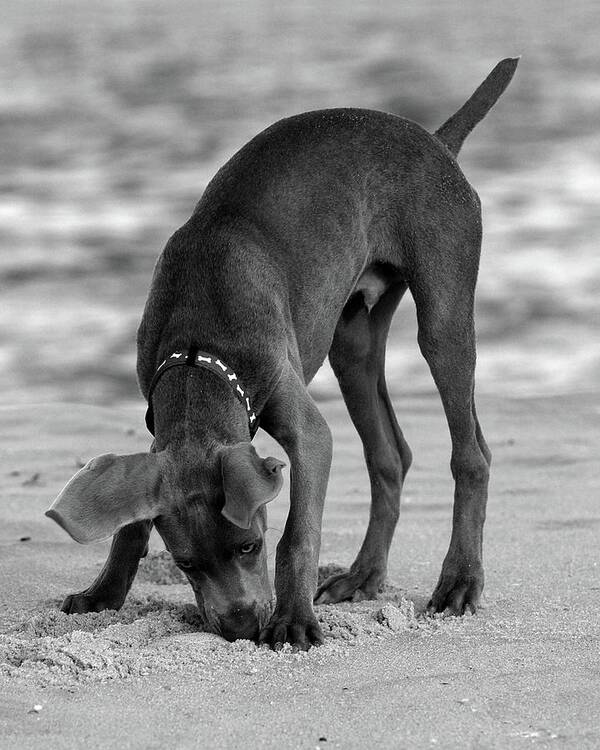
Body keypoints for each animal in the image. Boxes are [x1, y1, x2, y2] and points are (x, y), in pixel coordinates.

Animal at [47, 55, 516, 648]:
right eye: (185, 565)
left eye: (249, 547)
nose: (241, 627)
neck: (200, 351)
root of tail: (435, 140)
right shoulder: (160, 434)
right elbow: (130, 530)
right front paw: (103, 594)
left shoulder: (309, 433)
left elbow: (298, 531)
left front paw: (293, 622)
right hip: (352, 342)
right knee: (390, 455)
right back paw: (363, 576)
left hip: (443, 318)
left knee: (471, 453)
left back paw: (459, 581)